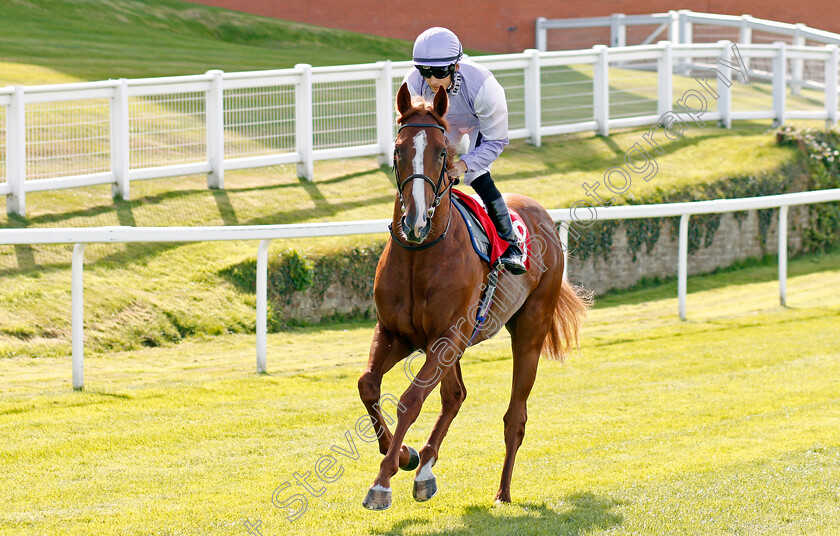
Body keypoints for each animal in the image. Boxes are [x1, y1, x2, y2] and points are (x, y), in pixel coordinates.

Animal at [356, 84, 592, 510]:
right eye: (398, 150)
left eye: (442, 152)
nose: (415, 220)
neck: (420, 253)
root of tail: (542, 214)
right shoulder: (399, 334)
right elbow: (368, 384)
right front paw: (403, 455)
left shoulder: (447, 336)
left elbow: (409, 401)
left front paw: (382, 482)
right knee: (455, 396)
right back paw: (424, 468)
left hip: (528, 330)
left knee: (515, 416)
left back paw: (503, 492)